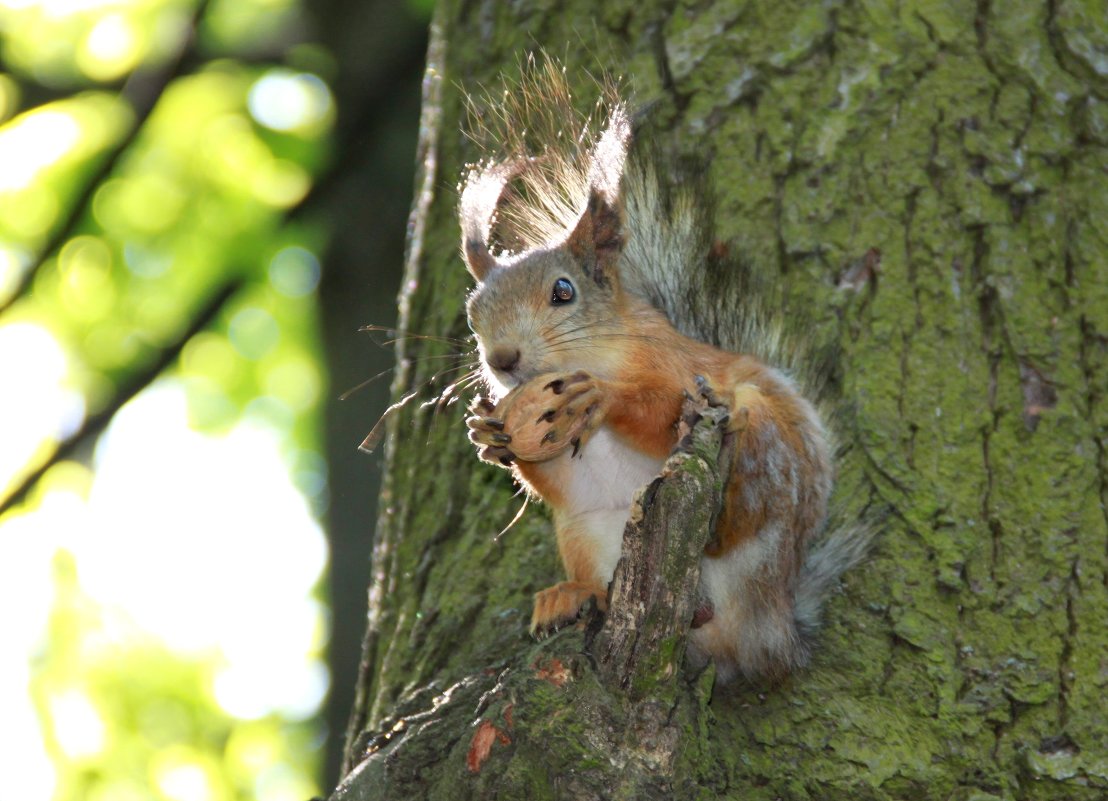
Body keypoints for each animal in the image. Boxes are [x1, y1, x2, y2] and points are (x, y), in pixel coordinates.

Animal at [458, 61, 864, 682]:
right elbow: (554, 478)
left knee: (740, 500)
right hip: (586, 532)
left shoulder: (676, 366)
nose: (502, 360)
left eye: (563, 292)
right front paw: (489, 435)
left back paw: (724, 512)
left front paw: (602, 398)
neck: (594, 355)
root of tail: (768, 629)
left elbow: (658, 409)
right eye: (473, 313)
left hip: (763, 461)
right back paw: (575, 598)